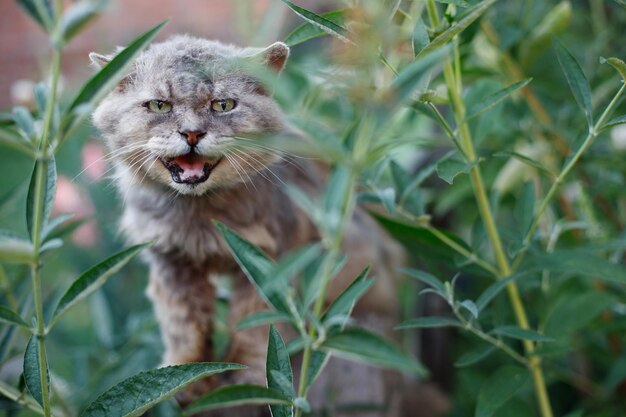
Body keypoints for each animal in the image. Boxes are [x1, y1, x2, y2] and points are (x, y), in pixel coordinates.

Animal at [91, 35, 444, 416]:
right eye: (159, 105)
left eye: (223, 105)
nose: (192, 134)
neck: (201, 216)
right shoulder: (172, 262)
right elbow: (185, 325)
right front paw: (190, 378)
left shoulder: (271, 262)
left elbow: (256, 328)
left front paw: (249, 380)